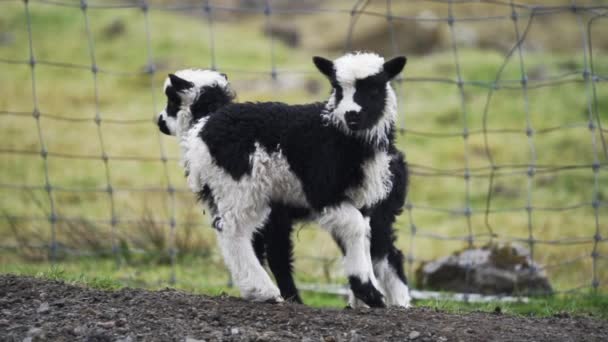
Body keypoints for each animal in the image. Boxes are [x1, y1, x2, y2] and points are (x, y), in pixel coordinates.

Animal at [158, 52, 408, 308]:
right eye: (337, 88)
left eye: (375, 88)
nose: (160, 121)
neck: (336, 134)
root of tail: (208, 122)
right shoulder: (320, 192)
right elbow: (354, 229)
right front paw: (367, 292)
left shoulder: (355, 200)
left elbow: (359, 233)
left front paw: (366, 293)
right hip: (237, 187)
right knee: (234, 232)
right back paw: (263, 290)